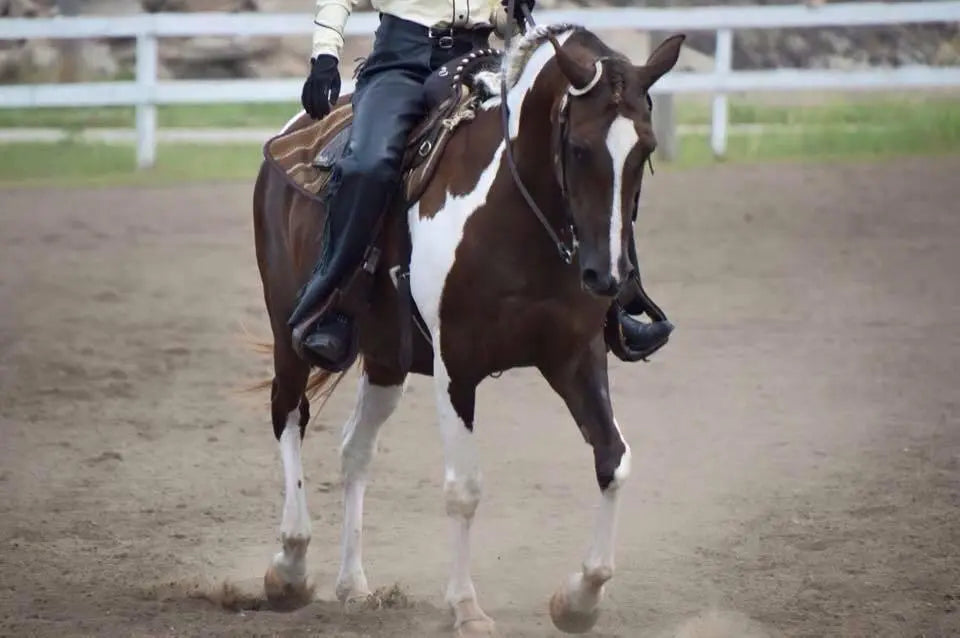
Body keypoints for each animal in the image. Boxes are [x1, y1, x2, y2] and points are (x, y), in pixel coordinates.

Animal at [252, 21, 685, 636]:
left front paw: (579, 599)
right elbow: (464, 488)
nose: (608, 276)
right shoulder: (455, 365)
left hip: (385, 358)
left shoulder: (575, 356)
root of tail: (290, 137)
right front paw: (464, 607)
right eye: (578, 148)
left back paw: (354, 585)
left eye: (645, 149)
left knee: (354, 449)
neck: (514, 214)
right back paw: (289, 568)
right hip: (290, 334)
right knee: (287, 414)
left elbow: (613, 460)